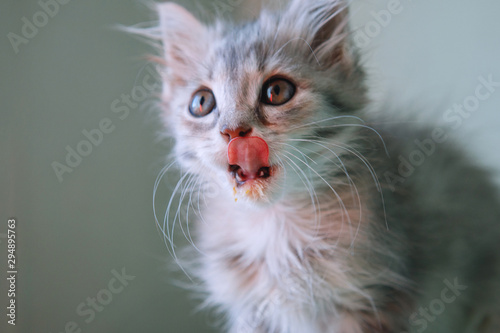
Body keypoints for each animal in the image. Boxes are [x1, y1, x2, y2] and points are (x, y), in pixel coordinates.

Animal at [143, 0, 500, 332]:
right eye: (202, 102)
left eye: (276, 91)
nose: (233, 132)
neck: (275, 227)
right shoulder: (251, 312)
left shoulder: (377, 299)